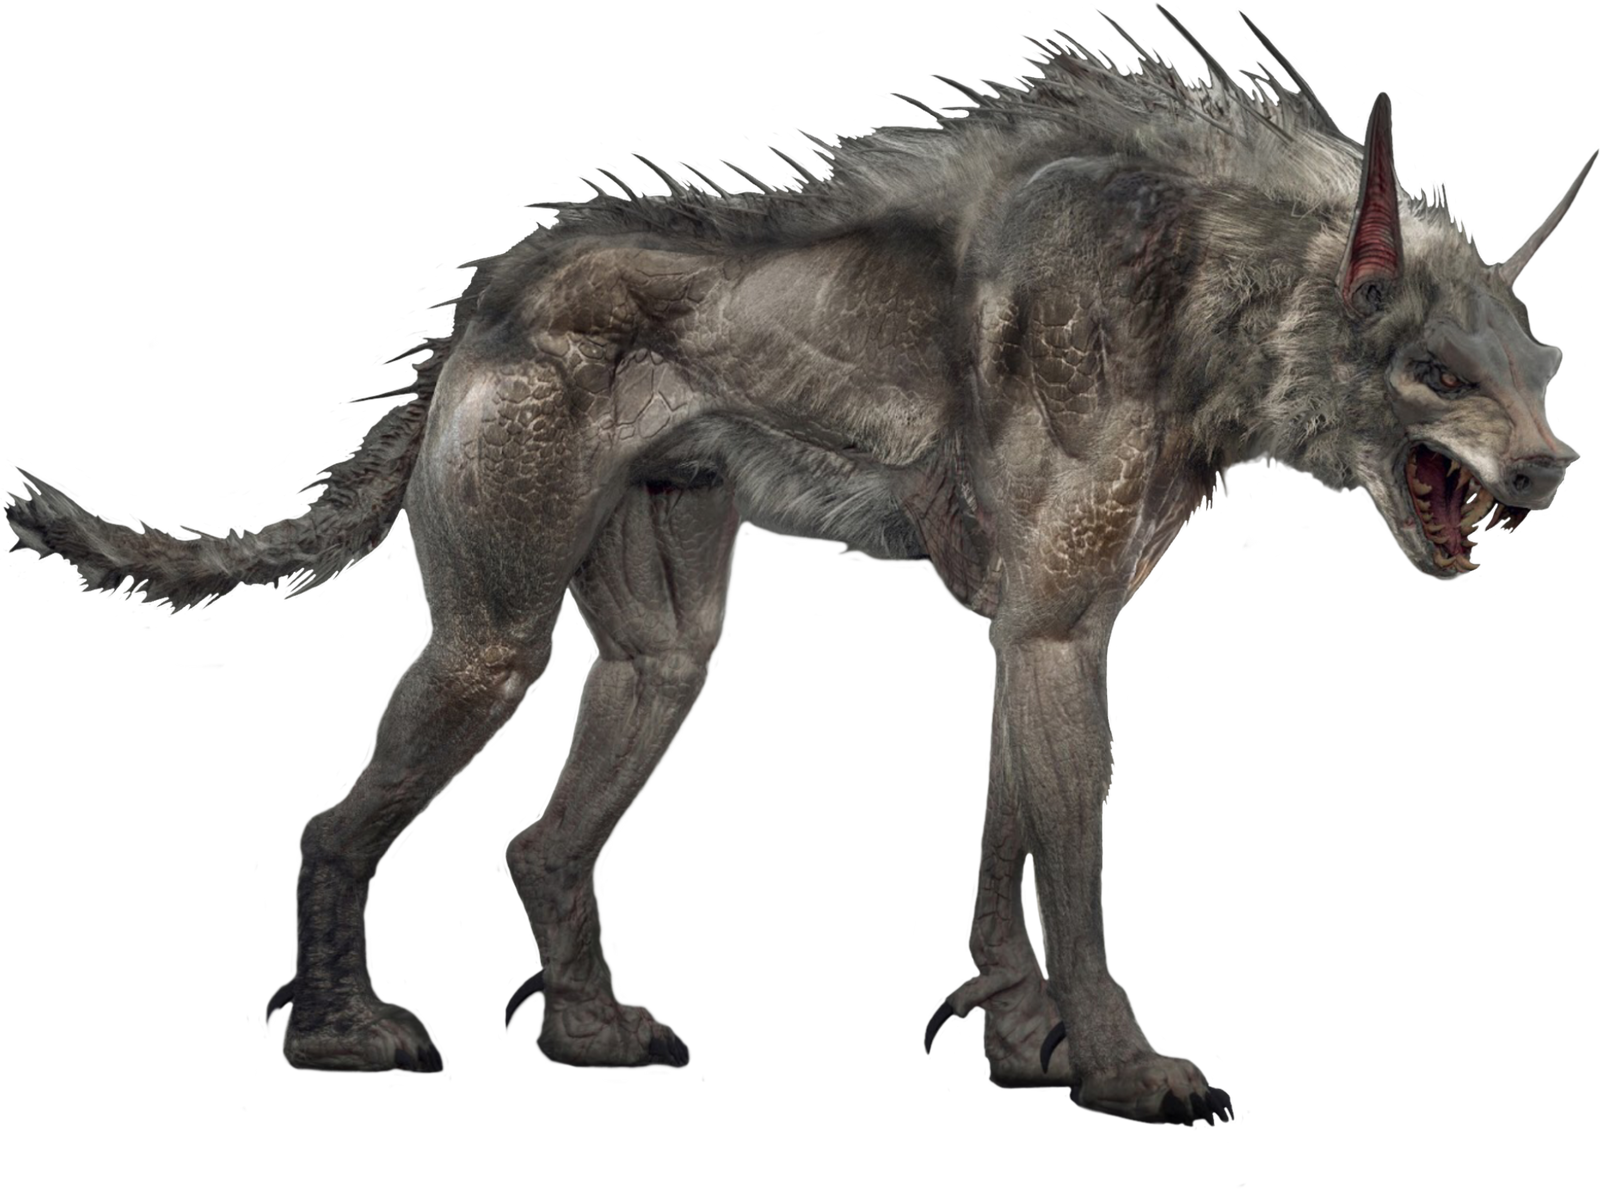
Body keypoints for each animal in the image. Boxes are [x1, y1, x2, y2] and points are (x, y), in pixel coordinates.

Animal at [4, 5, 1589, 1123]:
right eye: (1439, 373)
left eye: (1546, 375)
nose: (1552, 470)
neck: (1204, 293)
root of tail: (495, 293)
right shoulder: (1054, 629)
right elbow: (1075, 869)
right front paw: (1120, 1069)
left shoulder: (1035, 630)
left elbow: (1007, 839)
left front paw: (1016, 1035)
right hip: (491, 640)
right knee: (342, 824)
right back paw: (342, 1038)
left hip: (663, 651)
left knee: (546, 840)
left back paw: (591, 1033)